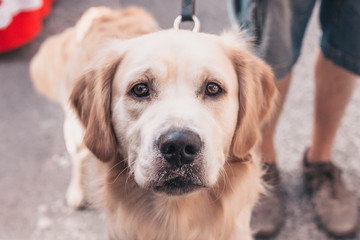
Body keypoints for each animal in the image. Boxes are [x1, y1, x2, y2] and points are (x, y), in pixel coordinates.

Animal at [31, 5, 278, 240]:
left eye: (212, 88)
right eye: (140, 89)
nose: (179, 146)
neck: (176, 220)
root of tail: (104, 13)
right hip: (78, 134)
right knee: (78, 159)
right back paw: (76, 193)